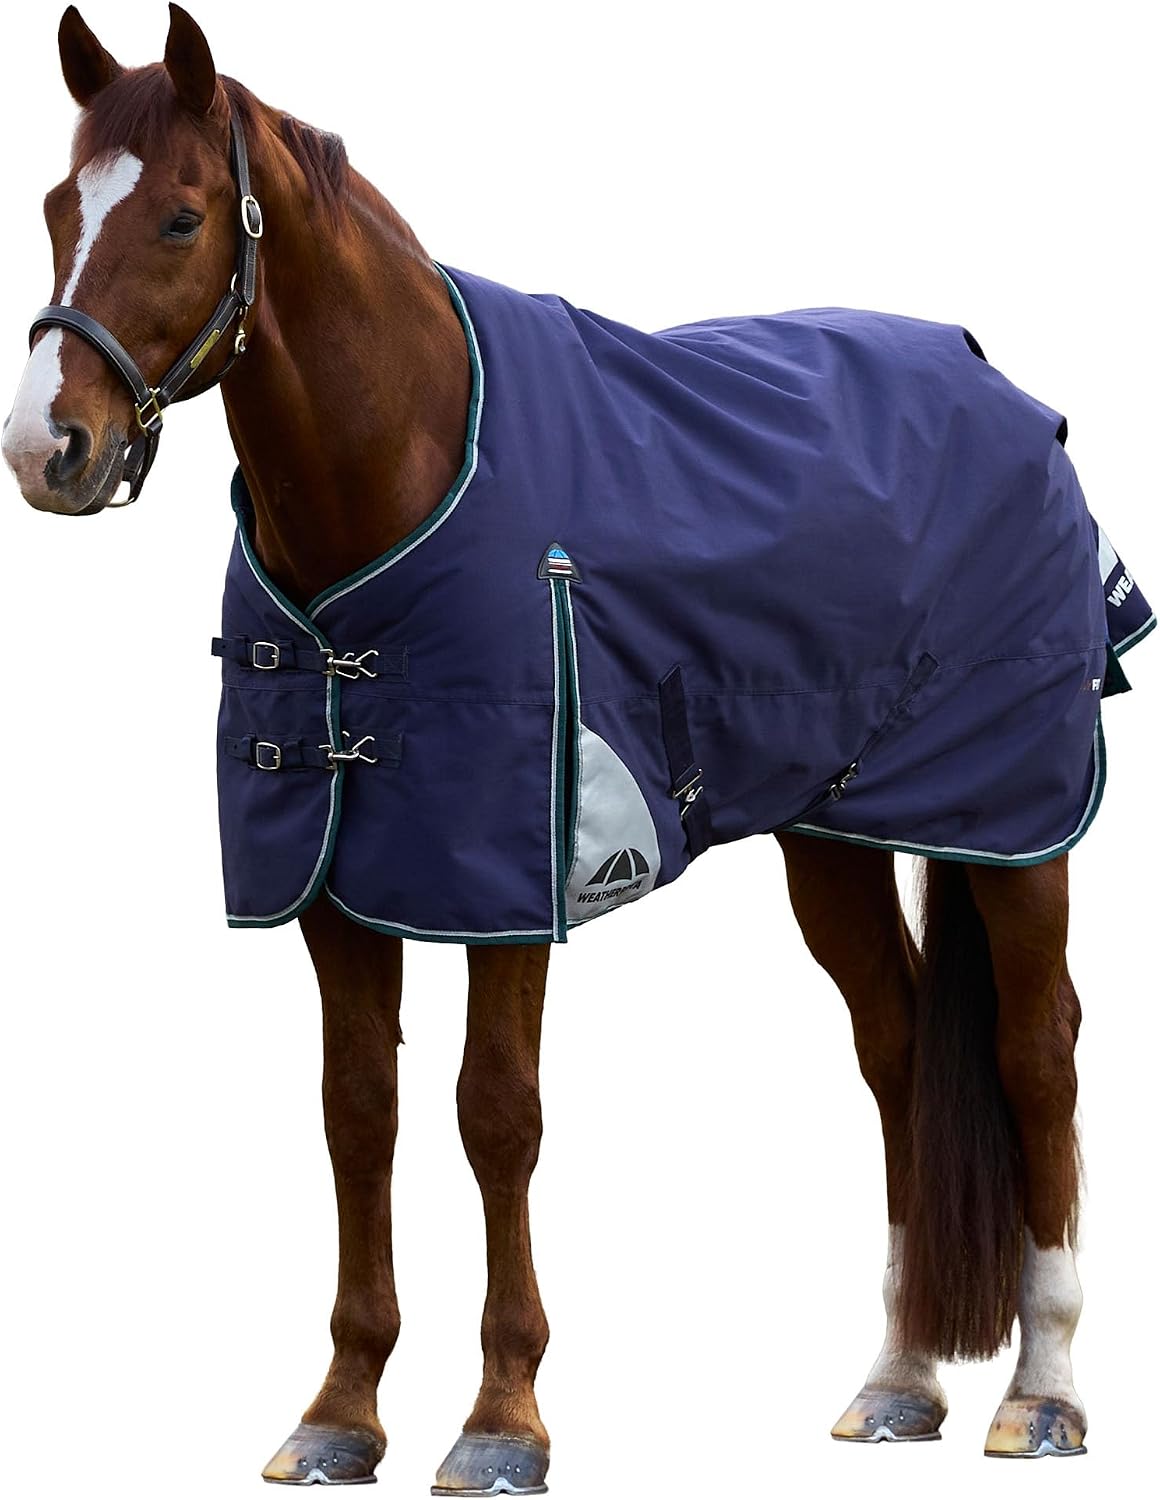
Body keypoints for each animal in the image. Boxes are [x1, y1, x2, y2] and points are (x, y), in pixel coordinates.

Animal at [5, 5, 1150, 1488]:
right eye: (53, 208)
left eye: (183, 216)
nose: (47, 446)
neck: (407, 466)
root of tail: (995, 385)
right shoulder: (337, 885)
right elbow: (356, 1115)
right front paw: (340, 1412)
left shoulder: (505, 881)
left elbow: (496, 1114)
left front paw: (501, 1420)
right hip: (833, 834)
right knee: (898, 1047)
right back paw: (898, 1379)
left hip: (1014, 821)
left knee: (1034, 1050)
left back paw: (1044, 1391)